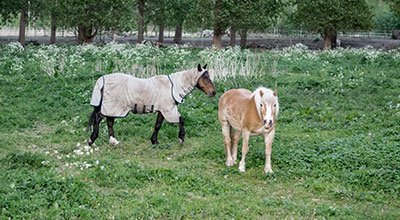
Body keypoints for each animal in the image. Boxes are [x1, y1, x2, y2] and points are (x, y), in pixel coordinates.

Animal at [88, 64, 216, 146]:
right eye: (205, 77)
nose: (213, 92)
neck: (173, 86)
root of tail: (102, 79)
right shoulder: (168, 109)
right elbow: (181, 120)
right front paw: (181, 139)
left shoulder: (162, 110)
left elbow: (158, 125)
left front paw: (154, 141)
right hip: (112, 107)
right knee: (98, 119)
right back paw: (91, 140)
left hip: (113, 108)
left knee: (109, 121)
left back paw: (113, 141)